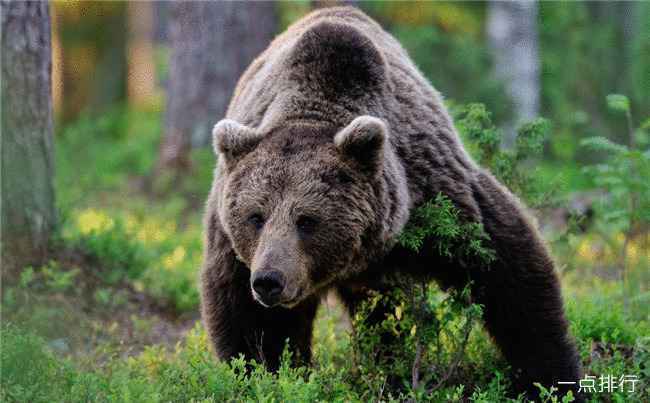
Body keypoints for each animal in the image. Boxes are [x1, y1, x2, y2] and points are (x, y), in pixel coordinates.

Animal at [200, 6, 583, 400]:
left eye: (307, 220)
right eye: (255, 216)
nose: (269, 280)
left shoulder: (433, 195)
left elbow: (508, 269)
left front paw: (552, 377)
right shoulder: (233, 246)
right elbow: (252, 325)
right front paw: (264, 376)